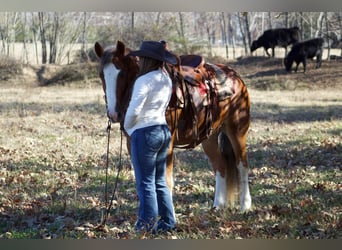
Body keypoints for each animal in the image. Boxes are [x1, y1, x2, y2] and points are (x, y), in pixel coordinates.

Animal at [93, 40, 251, 211]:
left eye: (121, 73)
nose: (113, 114)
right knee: (220, 165)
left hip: (237, 131)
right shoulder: (132, 144)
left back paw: (245, 205)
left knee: (242, 164)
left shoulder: (167, 145)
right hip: (210, 136)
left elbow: (166, 182)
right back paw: (218, 205)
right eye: (101, 74)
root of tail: (235, 77)